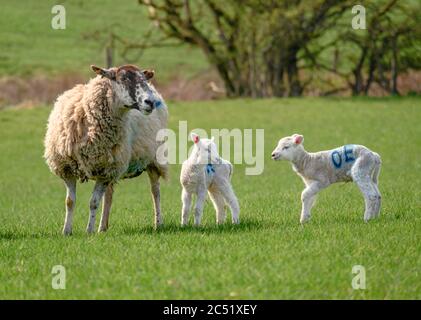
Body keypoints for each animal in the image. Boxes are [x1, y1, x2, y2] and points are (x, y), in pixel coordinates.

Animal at [43, 65, 167, 235]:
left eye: (144, 79)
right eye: (123, 79)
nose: (150, 102)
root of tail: (156, 92)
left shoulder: (104, 171)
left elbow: (94, 202)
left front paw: (89, 231)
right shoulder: (68, 169)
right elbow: (69, 201)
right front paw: (66, 231)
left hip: (153, 160)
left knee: (155, 191)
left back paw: (158, 223)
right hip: (114, 165)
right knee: (109, 195)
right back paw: (103, 227)